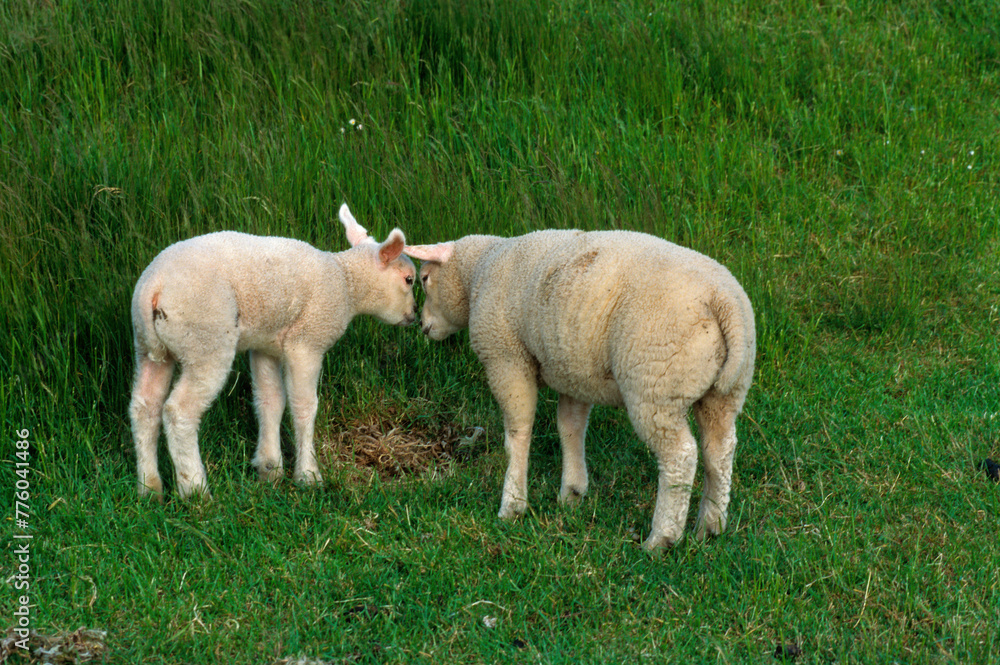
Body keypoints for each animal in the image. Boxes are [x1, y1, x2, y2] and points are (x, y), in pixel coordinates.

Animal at [129, 204, 417, 500]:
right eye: (409, 280)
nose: (414, 315)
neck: (346, 281)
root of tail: (154, 285)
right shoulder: (307, 343)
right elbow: (304, 407)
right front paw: (308, 475)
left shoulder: (264, 344)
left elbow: (270, 400)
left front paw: (270, 469)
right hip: (205, 340)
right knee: (179, 412)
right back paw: (195, 489)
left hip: (149, 347)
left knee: (144, 407)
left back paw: (149, 487)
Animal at [405, 229, 755, 549]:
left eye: (424, 278)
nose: (422, 325)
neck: (480, 269)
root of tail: (723, 300)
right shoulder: (572, 371)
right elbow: (570, 428)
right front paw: (572, 492)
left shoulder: (506, 359)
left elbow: (517, 433)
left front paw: (512, 505)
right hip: (726, 390)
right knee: (719, 450)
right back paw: (710, 526)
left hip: (655, 384)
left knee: (680, 456)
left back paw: (661, 539)